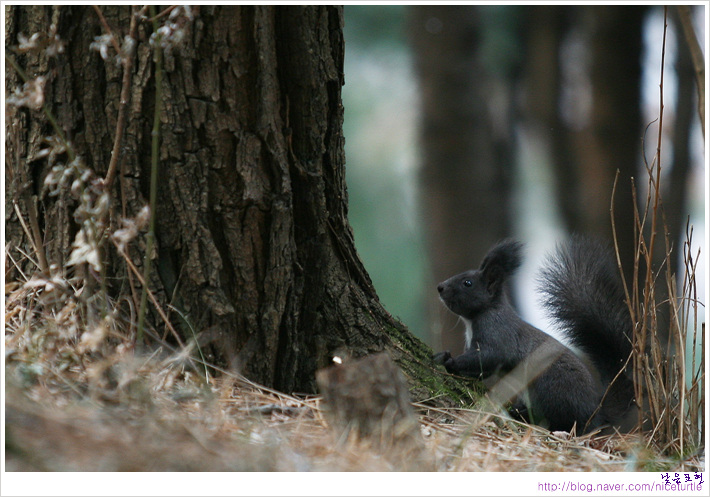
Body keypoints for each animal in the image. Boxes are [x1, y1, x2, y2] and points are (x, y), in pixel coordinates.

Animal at [434, 234, 640, 432]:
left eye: (467, 283)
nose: (440, 287)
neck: (476, 318)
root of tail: (594, 412)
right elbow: (482, 369)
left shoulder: (497, 332)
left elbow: (489, 355)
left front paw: (449, 360)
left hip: (550, 387)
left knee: (560, 421)